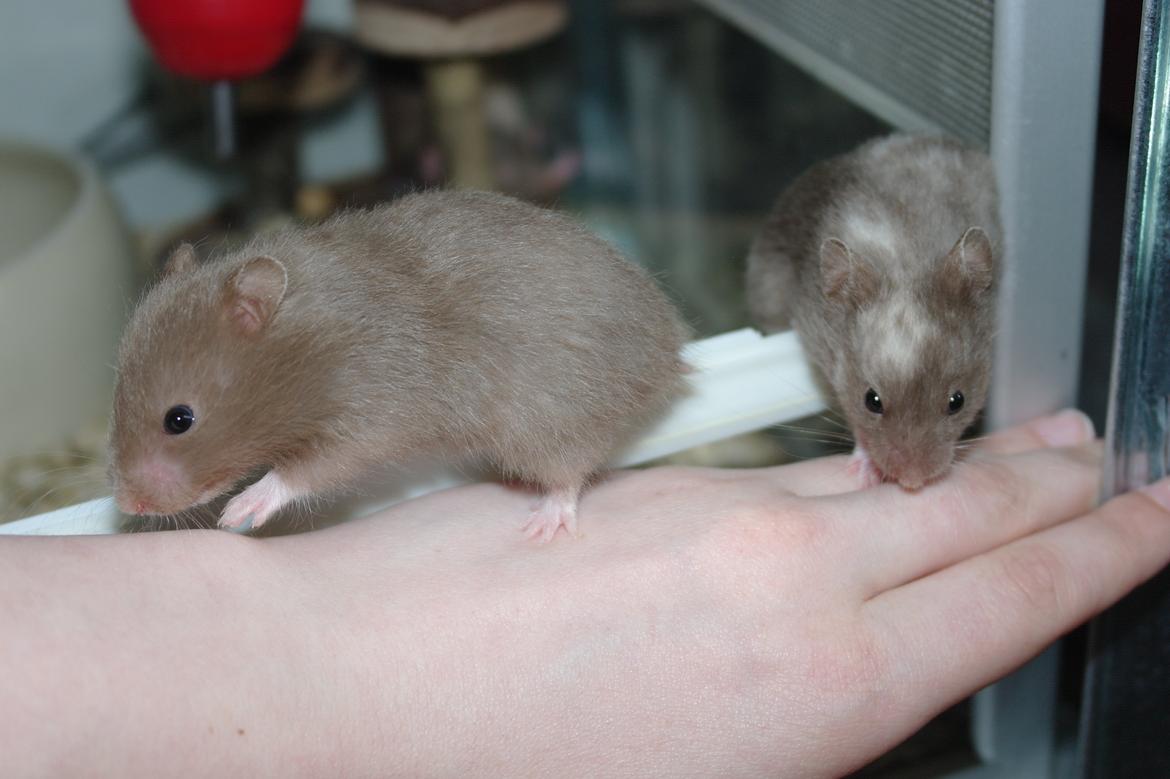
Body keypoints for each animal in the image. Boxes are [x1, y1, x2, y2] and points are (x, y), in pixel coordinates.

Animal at [109, 190, 688, 541]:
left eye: (179, 419)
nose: (129, 506)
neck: (309, 347)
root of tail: (670, 350)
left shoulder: (369, 411)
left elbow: (306, 471)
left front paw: (238, 513)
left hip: (549, 418)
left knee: (567, 475)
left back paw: (541, 525)